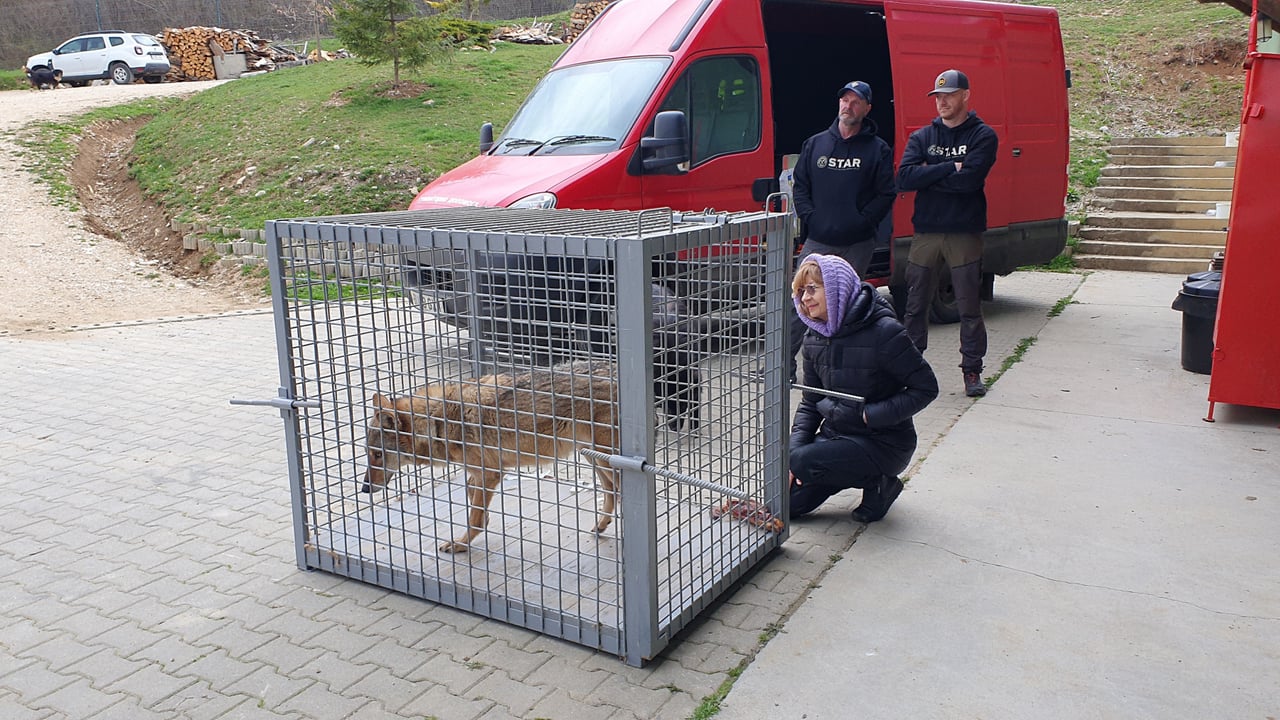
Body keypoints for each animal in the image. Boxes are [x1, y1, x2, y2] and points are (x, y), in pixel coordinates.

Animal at [360, 356, 619, 548]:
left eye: (378, 455)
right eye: (368, 453)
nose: (364, 489)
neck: (440, 421)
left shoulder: (491, 473)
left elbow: (473, 516)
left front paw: (461, 544)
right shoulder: (484, 471)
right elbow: (470, 491)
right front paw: (484, 518)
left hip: (605, 458)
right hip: (592, 456)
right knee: (611, 491)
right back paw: (601, 525)